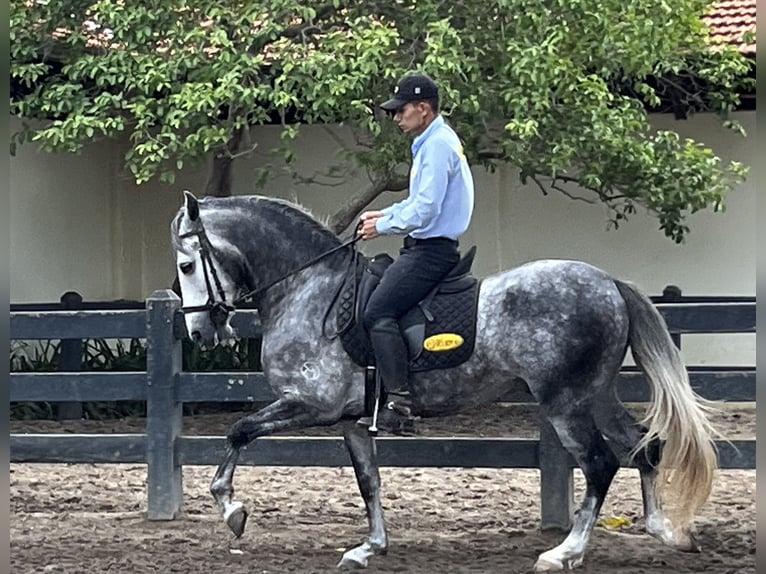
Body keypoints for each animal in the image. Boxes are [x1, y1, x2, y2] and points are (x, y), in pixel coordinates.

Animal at [171, 192, 724, 572]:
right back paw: (666, 531)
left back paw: (565, 551)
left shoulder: (310, 404)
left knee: (600, 464)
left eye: (187, 264)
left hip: (565, 403)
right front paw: (368, 548)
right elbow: (368, 481)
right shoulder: (351, 420)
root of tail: (609, 281)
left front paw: (232, 510)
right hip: (597, 394)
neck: (308, 289)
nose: (199, 331)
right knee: (644, 447)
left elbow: (239, 431)